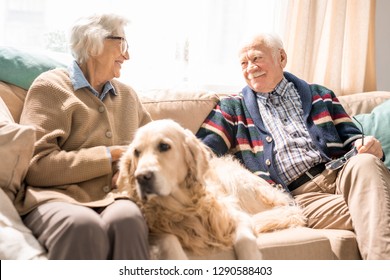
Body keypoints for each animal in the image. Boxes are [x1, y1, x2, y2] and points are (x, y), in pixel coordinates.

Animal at [117, 119, 306, 260]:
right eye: (136, 152)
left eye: (164, 146)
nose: (141, 177)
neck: (181, 206)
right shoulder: (153, 228)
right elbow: (169, 239)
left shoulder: (235, 215)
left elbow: (244, 239)